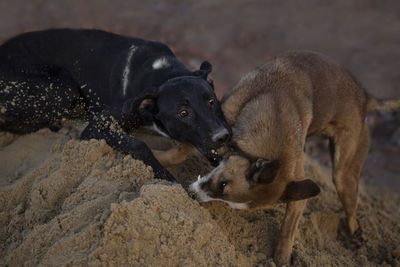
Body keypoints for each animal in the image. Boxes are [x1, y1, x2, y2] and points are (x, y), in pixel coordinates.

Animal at [0, 29, 231, 184]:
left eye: (212, 101)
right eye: (183, 113)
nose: (223, 136)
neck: (163, 75)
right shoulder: (99, 125)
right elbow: (138, 144)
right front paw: (167, 179)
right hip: (62, 90)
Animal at [188, 51, 400, 266]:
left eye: (223, 185)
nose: (193, 195)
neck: (273, 105)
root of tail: (365, 97)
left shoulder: (297, 189)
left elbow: (287, 230)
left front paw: (281, 258)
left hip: (343, 178)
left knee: (352, 217)